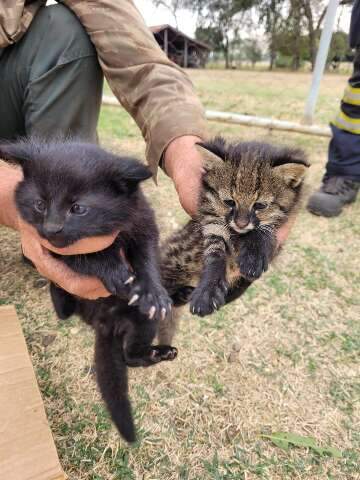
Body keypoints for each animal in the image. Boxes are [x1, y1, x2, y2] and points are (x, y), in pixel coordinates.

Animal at [0, 139, 177, 442]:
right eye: (40, 204)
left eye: (78, 208)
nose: (51, 228)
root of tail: (106, 322)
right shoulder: (50, 247)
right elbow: (83, 256)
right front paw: (114, 270)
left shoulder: (142, 220)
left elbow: (146, 255)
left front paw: (153, 292)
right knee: (65, 312)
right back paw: (57, 288)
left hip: (144, 322)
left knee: (130, 356)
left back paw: (159, 353)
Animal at [160, 137, 310, 344]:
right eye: (229, 202)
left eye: (260, 206)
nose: (240, 223)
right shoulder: (209, 217)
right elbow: (215, 250)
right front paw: (209, 290)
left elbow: (264, 234)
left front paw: (253, 256)